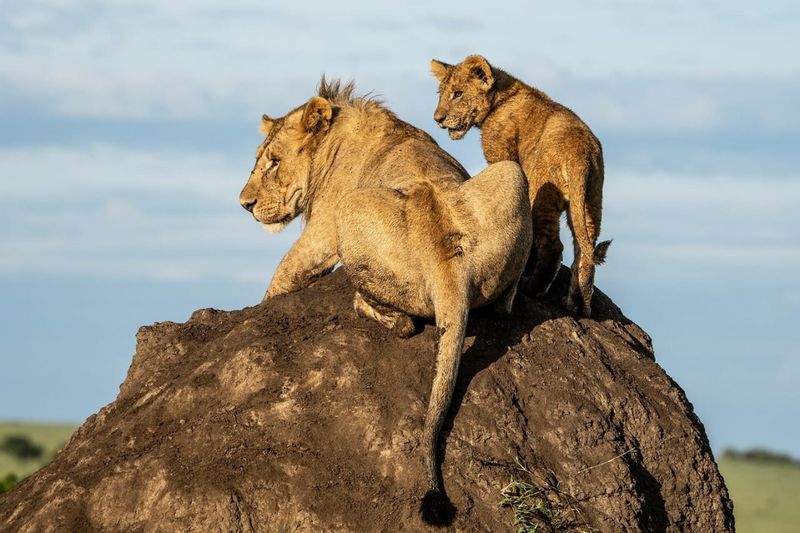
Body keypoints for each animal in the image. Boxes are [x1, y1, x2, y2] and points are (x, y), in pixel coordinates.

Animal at [241, 78, 536, 524]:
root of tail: (448, 264)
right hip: (512, 173)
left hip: (350, 209)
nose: (245, 205)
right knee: (502, 302)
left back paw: (362, 305)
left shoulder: (321, 233)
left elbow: (279, 280)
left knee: (403, 323)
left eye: (273, 162)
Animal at [432, 56, 612, 318]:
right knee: (584, 252)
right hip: (591, 200)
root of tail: (581, 153)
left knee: (553, 246)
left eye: (458, 93)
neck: (501, 97)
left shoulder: (502, 153)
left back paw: (533, 288)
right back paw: (578, 305)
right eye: (441, 93)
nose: (438, 119)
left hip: (542, 190)